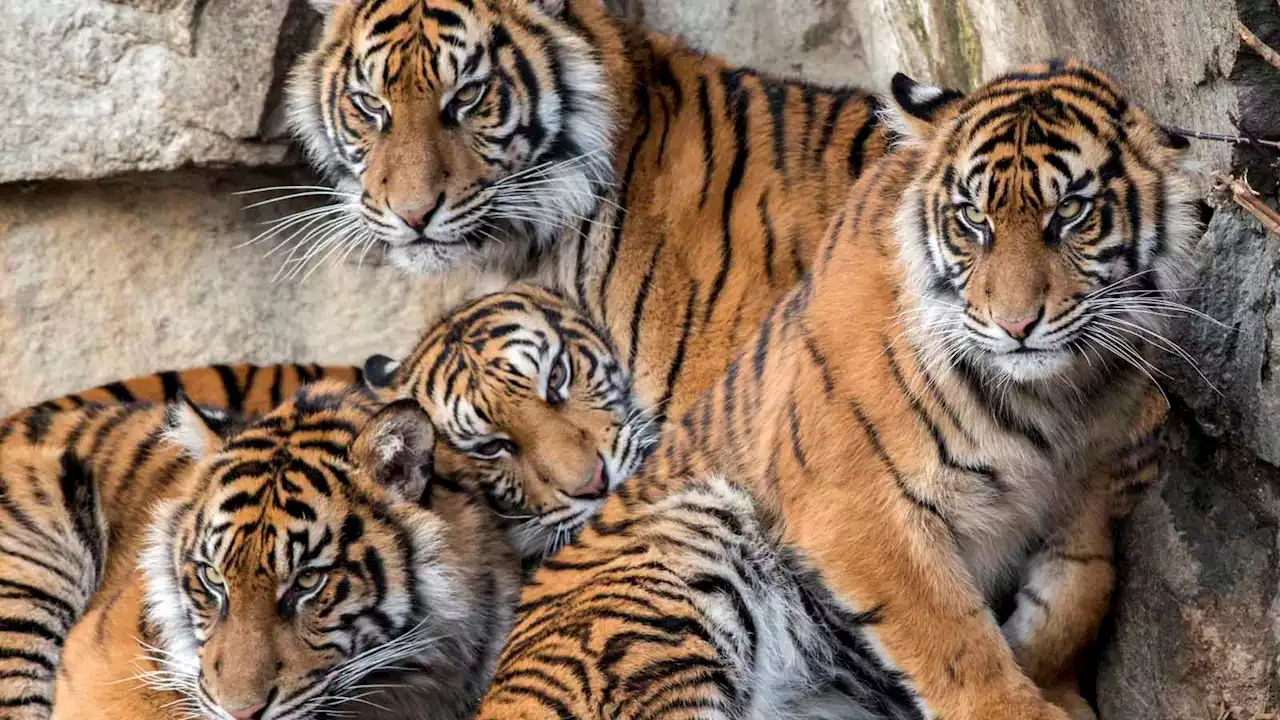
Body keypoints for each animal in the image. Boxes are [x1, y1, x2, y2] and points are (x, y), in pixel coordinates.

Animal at [471, 60, 1198, 717]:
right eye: (972, 219)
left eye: (1071, 212)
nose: (1016, 325)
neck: (1057, 397)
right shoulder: (853, 501)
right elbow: (949, 632)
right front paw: (1014, 708)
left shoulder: (1086, 483)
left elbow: (1078, 593)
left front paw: (1056, 684)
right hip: (685, 550)